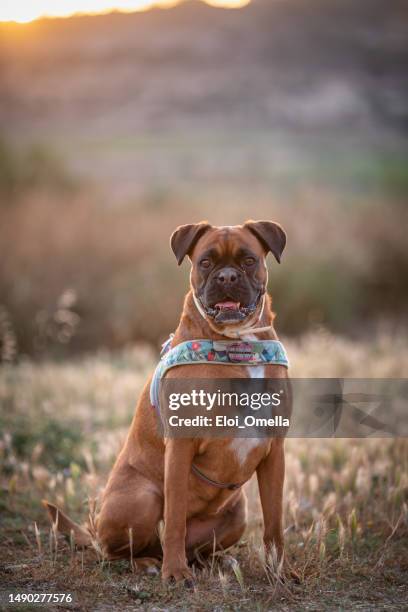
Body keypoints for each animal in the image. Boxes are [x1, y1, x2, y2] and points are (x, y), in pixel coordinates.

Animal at [44, 220, 288, 584]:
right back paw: (150, 563)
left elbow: (274, 524)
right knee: (118, 551)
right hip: (142, 498)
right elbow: (173, 519)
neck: (237, 346)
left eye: (248, 261)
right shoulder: (180, 447)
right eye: (205, 262)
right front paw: (175, 573)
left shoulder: (275, 451)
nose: (227, 277)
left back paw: (214, 562)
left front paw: (281, 572)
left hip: (238, 515)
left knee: (192, 548)